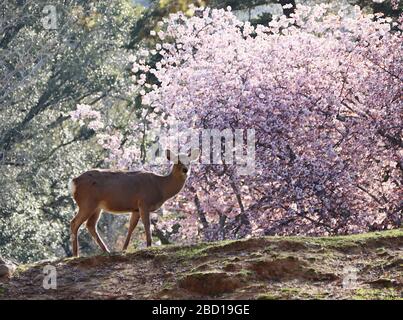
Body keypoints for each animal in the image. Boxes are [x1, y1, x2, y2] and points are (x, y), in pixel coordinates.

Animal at [71, 149, 202, 256]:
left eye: (189, 161)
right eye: (176, 161)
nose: (185, 170)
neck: (161, 187)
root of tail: (74, 182)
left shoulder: (136, 208)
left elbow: (131, 227)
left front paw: (124, 249)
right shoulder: (144, 202)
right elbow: (147, 225)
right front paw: (149, 246)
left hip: (97, 207)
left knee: (90, 225)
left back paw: (106, 250)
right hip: (87, 202)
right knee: (74, 222)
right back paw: (75, 254)